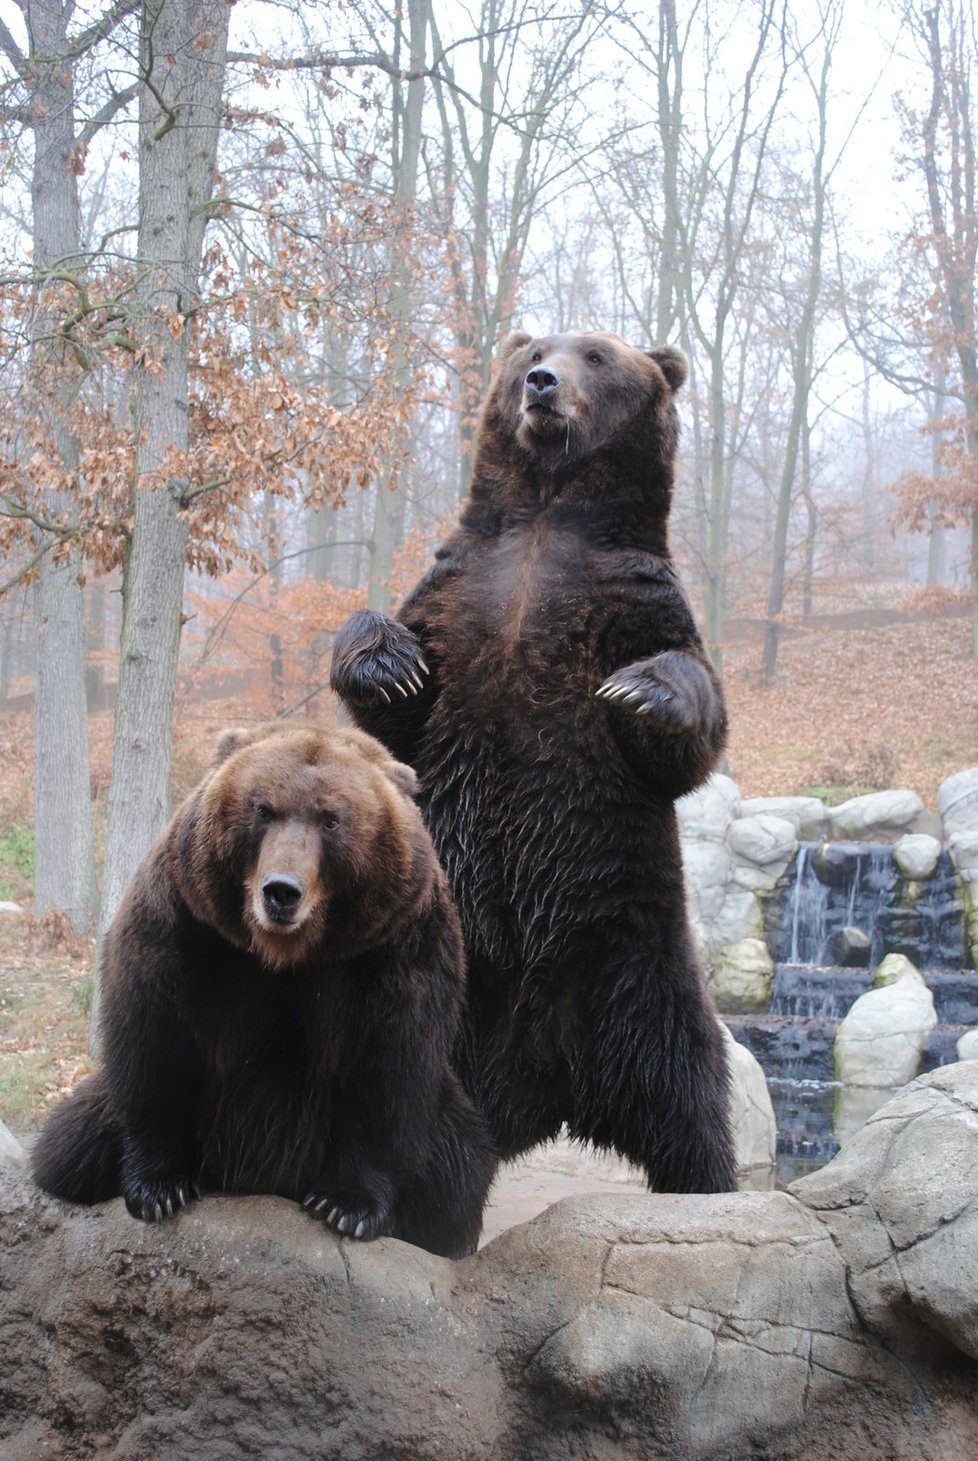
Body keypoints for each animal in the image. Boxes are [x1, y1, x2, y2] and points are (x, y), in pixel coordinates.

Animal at [33, 718, 491, 1256]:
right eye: (263, 809)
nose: (281, 891)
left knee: (459, 1169)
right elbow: (154, 1045)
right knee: (68, 1142)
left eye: (331, 819)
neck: (286, 956)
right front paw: (160, 1187)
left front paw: (347, 1206)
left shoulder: (396, 949)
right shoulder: (183, 925)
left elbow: (390, 1070)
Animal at [327, 334, 730, 1198]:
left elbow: (691, 714)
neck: (548, 514)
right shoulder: (458, 591)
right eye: (534, 351)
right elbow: (397, 697)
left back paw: (709, 1184)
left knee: (687, 1087)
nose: (543, 385)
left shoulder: (634, 595)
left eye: (597, 354)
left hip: (638, 958)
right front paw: (387, 662)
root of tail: (546, 1084)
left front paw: (642, 691)